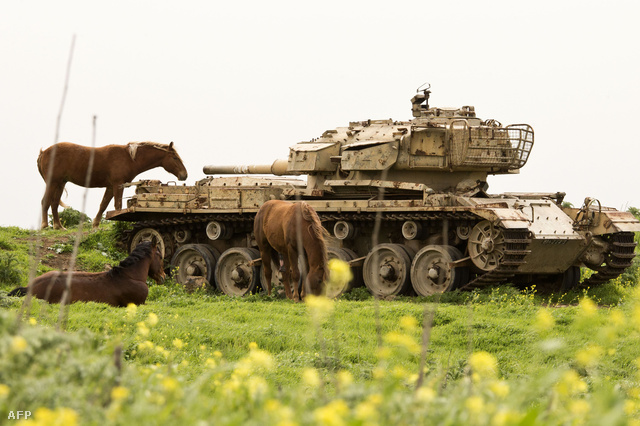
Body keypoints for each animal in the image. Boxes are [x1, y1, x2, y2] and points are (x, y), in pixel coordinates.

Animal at [38, 141, 188, 230]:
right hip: (53, 182)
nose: (184, 175)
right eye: (175, 157)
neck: (129, 158)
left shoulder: (110, 187)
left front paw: (95, 225)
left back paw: (58, 226)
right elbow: (118, 206)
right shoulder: (118, 185)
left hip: (60, 183)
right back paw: (45, 225)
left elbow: (103, 205)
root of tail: (43, 152)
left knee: (54, 203)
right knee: (46, 201)